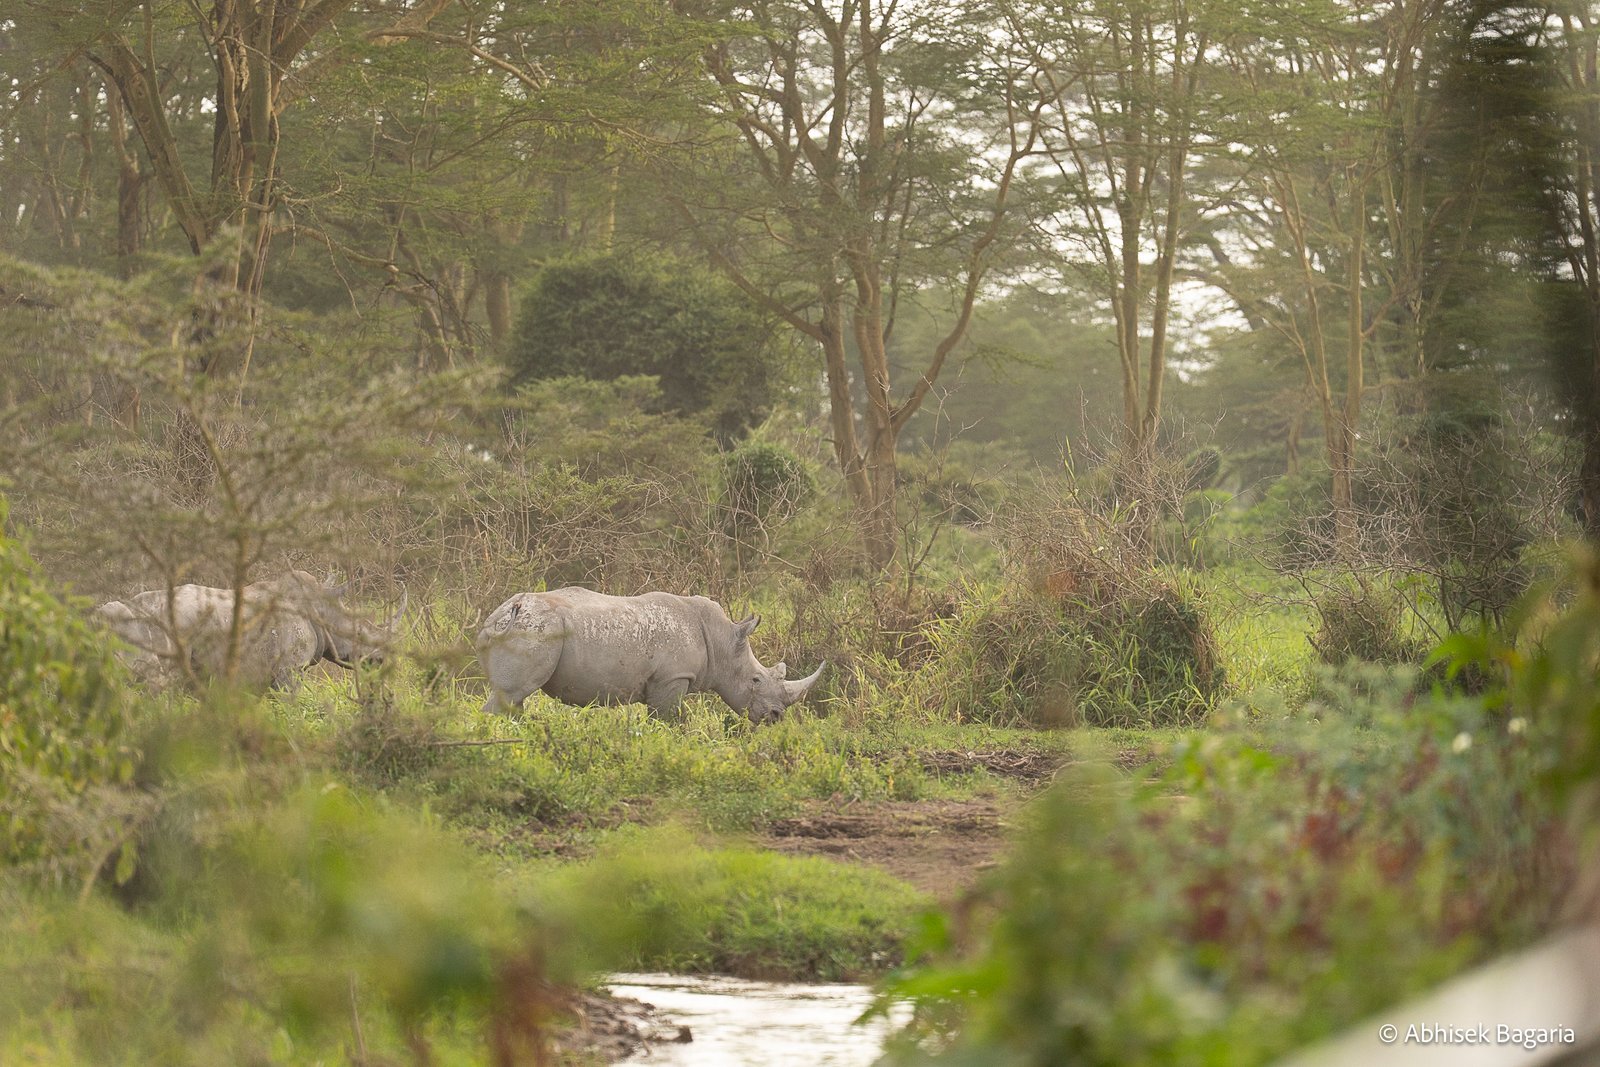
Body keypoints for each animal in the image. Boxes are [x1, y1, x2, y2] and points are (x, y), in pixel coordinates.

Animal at [476, 588, 826, 723]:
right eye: (755, 680)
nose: (776, 716)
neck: (721, 641)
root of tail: (508, 610)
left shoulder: (665, 680)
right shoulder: (672, 678)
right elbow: (668, 721)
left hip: (520, 628)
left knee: (514, 698)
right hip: (535, 630)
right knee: (511, 693)